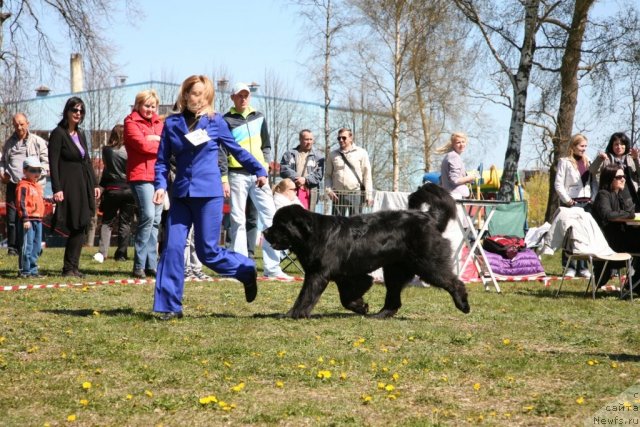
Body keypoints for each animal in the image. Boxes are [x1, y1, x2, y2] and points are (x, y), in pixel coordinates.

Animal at [262, 182, 470, 320]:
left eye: (279, 225)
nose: (264, 232)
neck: (312, 236)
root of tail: (429, 217)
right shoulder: (345, 276)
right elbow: (347, 297)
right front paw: (362, 307)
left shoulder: (318, 274)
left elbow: (306, 296)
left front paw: (293, 314)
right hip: (394, 270)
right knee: (394, 298)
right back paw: (380, 315)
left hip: (427, 264)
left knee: (453, 282)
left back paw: (463, 305)